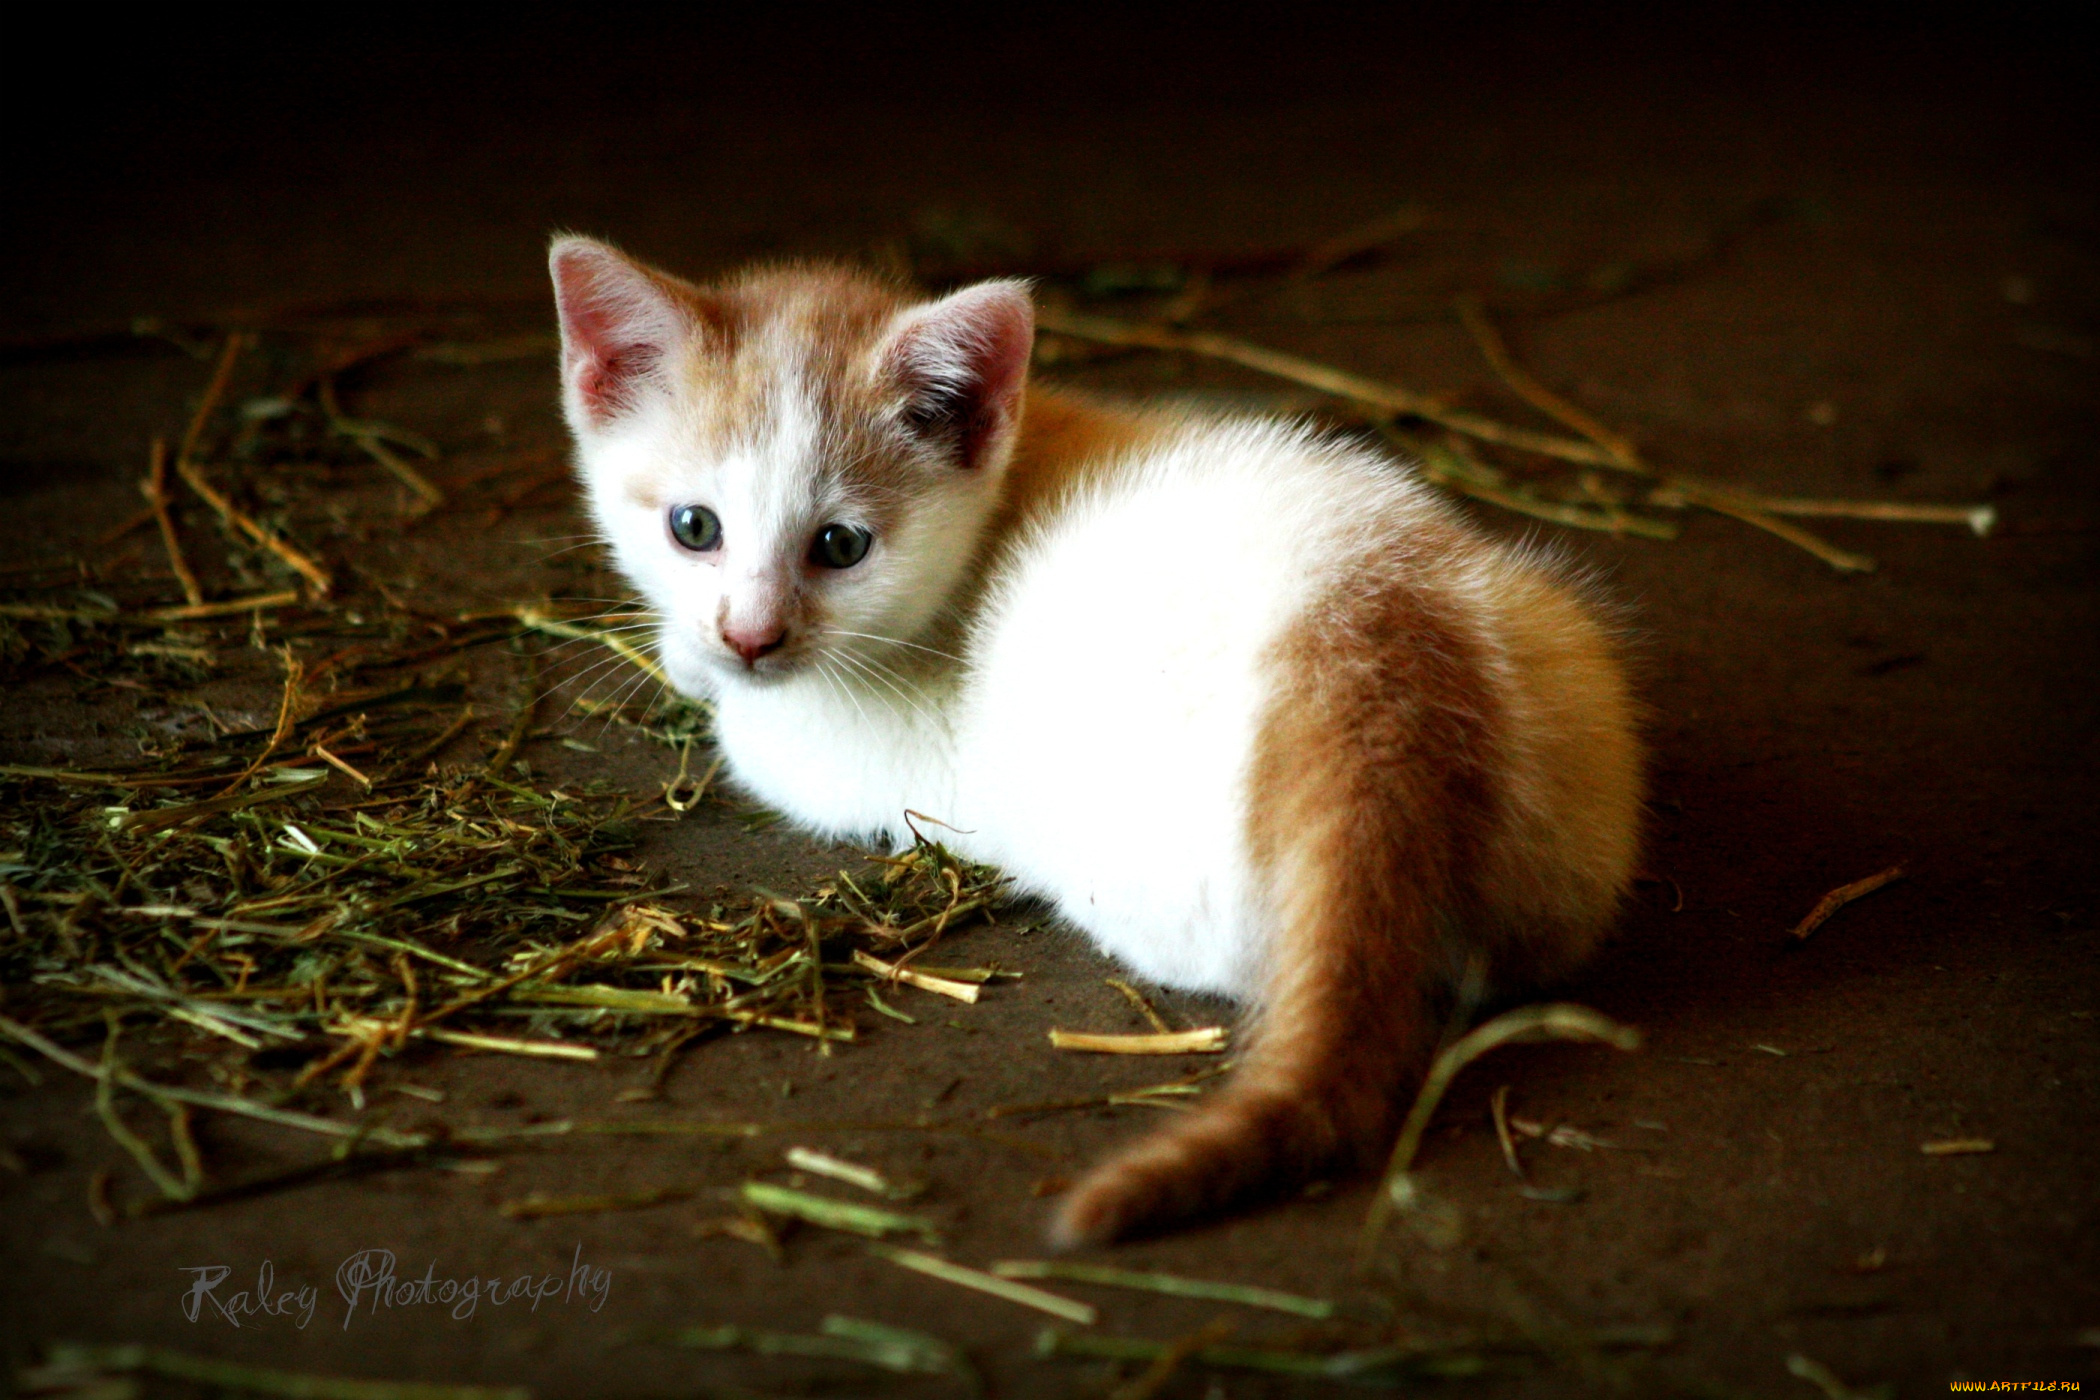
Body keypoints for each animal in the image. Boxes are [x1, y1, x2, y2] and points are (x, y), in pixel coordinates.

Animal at [554, 238, 1637, 1250]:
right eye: (693, 527)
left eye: (840, 546)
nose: (751, 637)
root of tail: (1366, 655)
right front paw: (688, 648)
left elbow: (750, 733)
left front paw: (694, 669)